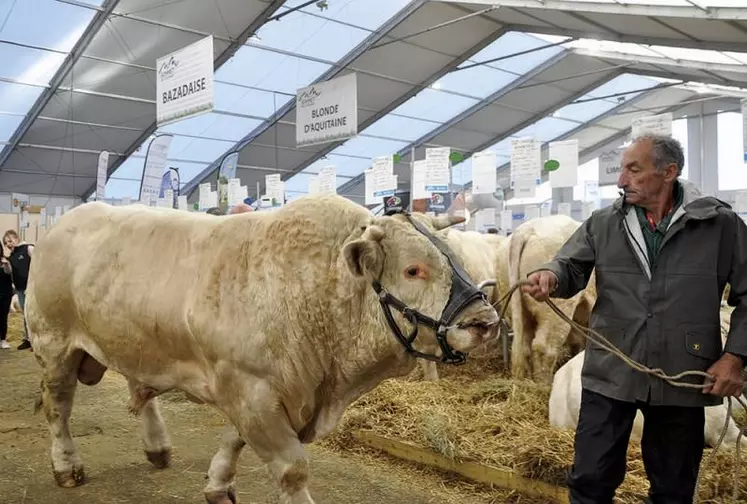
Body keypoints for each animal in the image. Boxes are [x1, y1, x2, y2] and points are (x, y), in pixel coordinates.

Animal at [27, 196, 502, 504]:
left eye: (457, 259)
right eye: (413, 270)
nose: (486, 322)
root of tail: (64, 223)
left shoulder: (253, 391)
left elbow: (233, 439)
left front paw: (218, 484)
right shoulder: (251, 389)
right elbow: (292, 469)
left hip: (134, 339)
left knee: (139, 389)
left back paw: (157, 448)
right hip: (54, 344)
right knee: (57, 407)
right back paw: (66, 466)